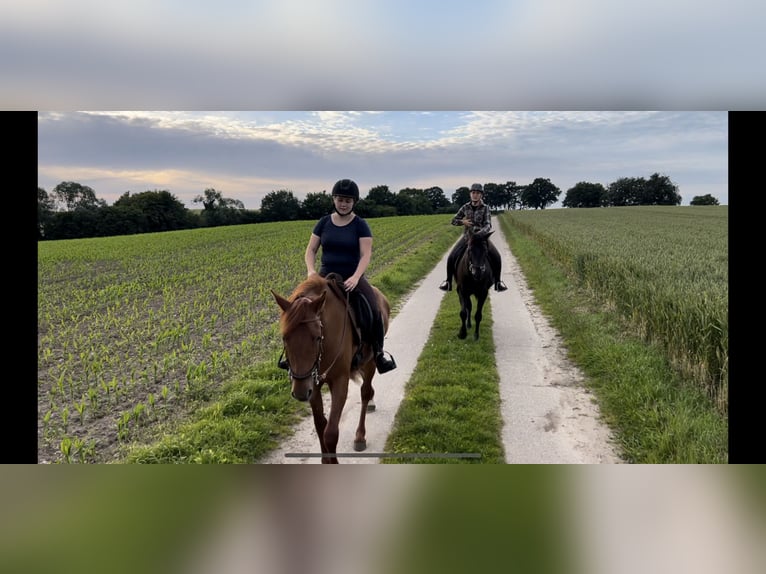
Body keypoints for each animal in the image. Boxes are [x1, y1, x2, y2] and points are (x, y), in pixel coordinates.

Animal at [272, 274, 390, 464]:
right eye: (285, 337)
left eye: (317, 337)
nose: (300, 393)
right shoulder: (312, 384)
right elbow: (320, 425)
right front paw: (324, 460)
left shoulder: (340, 382)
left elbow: (331, 432)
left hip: (371, 361)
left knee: (365, 392)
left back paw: (360, 436)